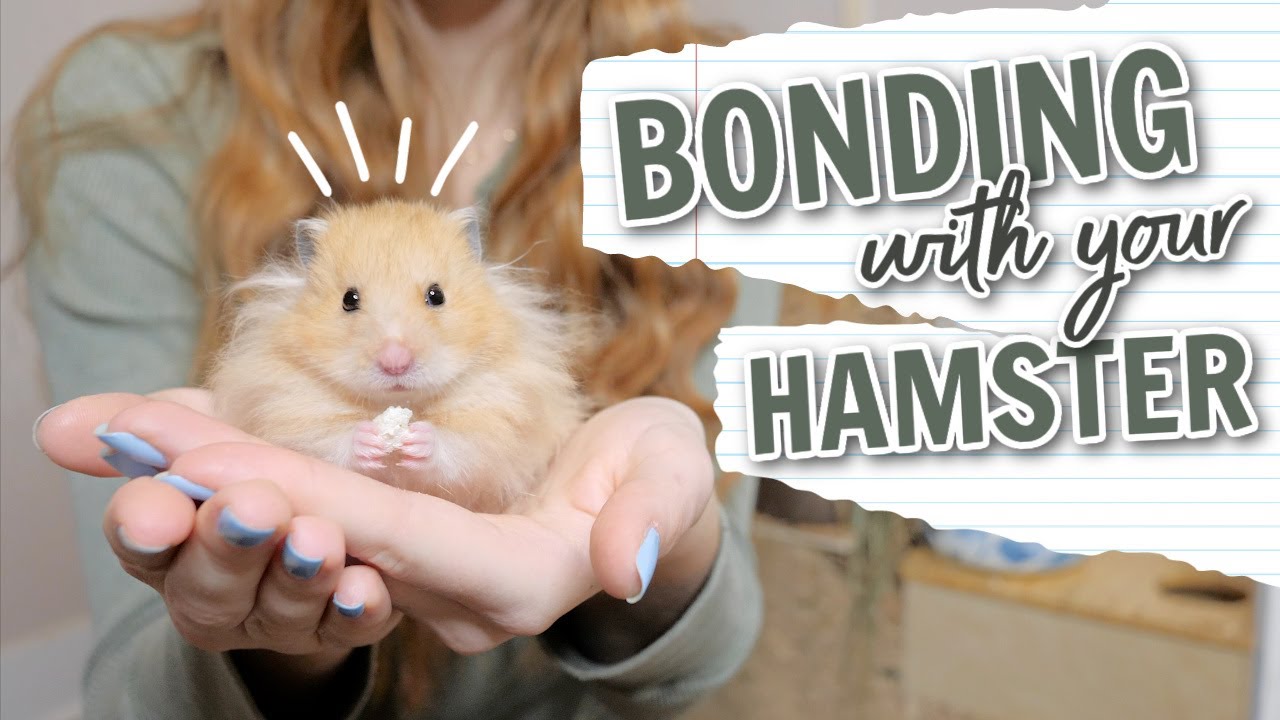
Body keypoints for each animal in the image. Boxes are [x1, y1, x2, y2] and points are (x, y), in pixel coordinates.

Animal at [208, 200, 590, 513]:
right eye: (348, 299)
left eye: (436, 295)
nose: (396, 363)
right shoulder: (289, 411)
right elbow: (326, 440)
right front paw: (368, 440)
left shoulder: (499, 417)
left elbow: (463, 448)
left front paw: (419, 440)